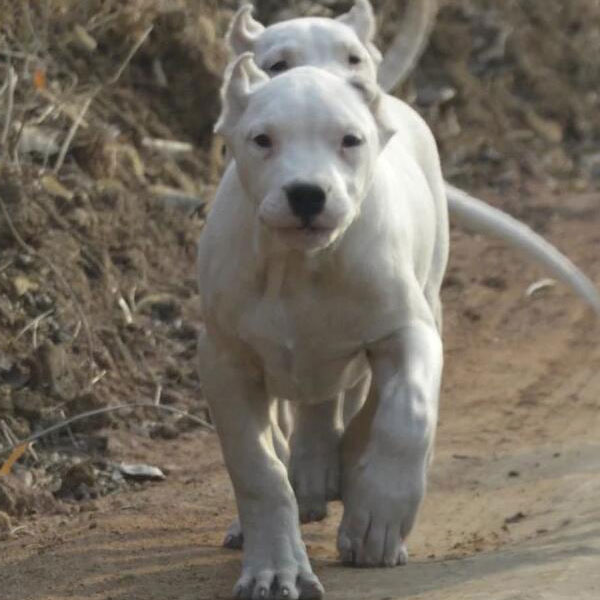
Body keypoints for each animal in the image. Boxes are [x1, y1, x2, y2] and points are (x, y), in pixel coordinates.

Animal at [199, 52, 448, 600]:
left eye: (350, 140)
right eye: (262, 140)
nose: (307, 194)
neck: (300, 267)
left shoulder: (407, 333)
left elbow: (407, 413)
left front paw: (379, 511)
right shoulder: (225, 363)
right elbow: (258, 469)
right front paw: (276, 566)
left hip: (429, 294)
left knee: (355, 403)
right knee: (303, 416)